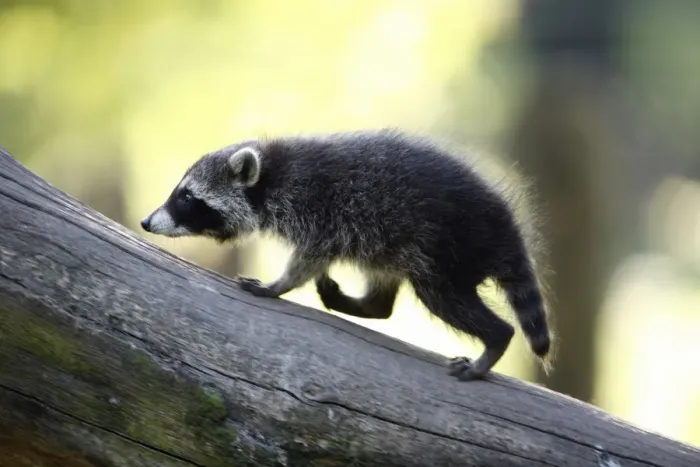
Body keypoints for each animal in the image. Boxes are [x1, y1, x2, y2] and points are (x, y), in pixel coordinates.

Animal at [141, 129, 552, 381]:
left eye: (186, 198)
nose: (146, 221)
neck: (273, 172)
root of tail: (505, 226)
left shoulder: (318, 210)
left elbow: (311, 257)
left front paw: (279, 285)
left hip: (445, 248)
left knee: (445, 298)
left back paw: (495, 339)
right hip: (395, 245)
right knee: (383, 296)